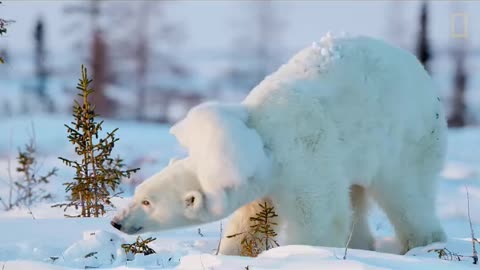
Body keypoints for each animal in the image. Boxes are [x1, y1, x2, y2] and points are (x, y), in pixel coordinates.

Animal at [111, 32, 446, 254]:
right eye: (137, 193)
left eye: (147, 202)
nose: (116, 222)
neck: (260, 146)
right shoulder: (265, 183)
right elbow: (248, 224)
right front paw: (231, 256)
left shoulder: (304, 157)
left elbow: (321, 219)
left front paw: (305, 253)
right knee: (357, 195)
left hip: (409, 140)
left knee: (408, 195)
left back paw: (424, 245)